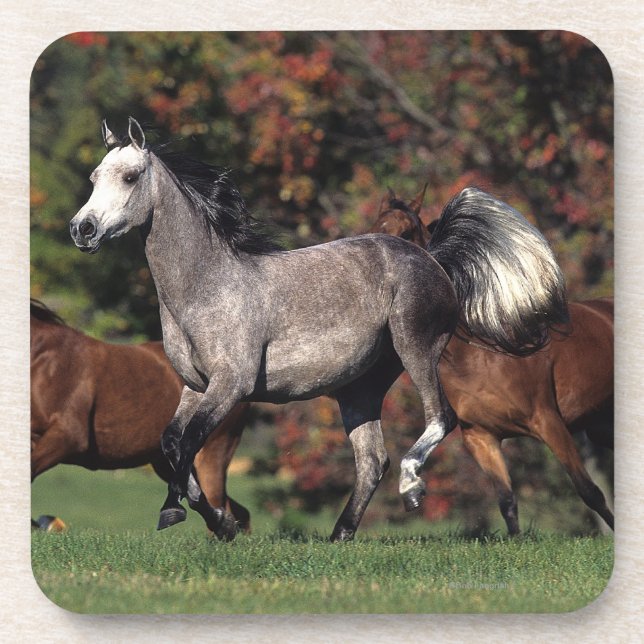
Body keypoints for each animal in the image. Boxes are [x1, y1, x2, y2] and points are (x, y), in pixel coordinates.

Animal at [30, 298, 250, 538]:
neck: (44, 360)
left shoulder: (70, 436)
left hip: (212, 454)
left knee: (219, 506)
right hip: (170, 465)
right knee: (233, 510)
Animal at [69, 117, 568, 541]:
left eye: (131, 177)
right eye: (94, 177)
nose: (82, 229)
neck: (207, 286)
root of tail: (433, 258)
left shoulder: (231, 385)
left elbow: (189, 442)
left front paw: (179, 513)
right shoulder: (195, 386)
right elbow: (172, 443)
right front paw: (219, 523)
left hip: (416, 348)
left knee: (438, 418)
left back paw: (411, 489)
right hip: (359, 388)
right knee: (371, 460)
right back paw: (339, 536)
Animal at [369, 187, 614, 534]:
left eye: (405, 234)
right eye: (373, 228)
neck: (481, 353)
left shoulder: (550, 423)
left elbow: (590, 492)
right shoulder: (482, 438)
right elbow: (507, 503)